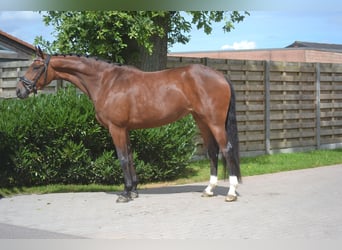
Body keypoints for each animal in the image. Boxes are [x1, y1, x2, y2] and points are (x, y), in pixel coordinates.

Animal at [16, 47, 240, 203]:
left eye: (36, 66)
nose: (19, 91)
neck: (106, 82)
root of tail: (221, 76)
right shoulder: (126, 130)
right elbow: (130, 157)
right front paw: (134, 190)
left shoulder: (116, 128)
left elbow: (122, 158)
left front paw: (125, 193)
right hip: (202, 121)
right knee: (212, 151)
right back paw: (209, 190)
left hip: (215, 122)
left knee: (227, 149)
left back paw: (231, 192)